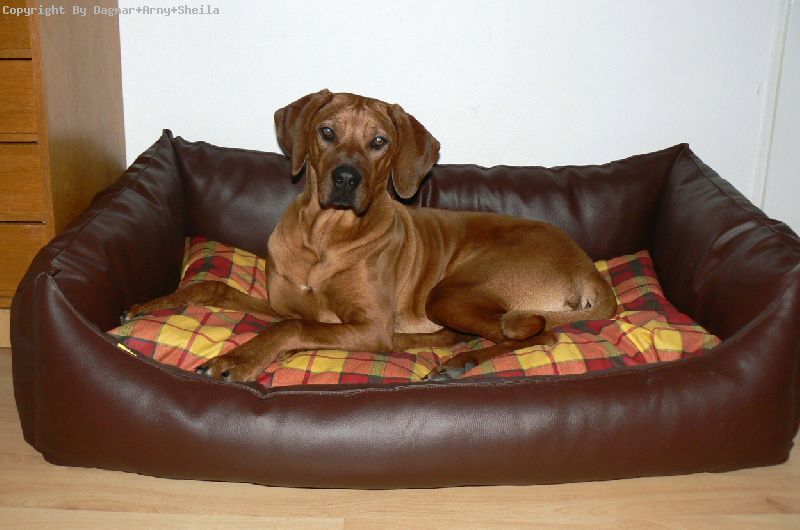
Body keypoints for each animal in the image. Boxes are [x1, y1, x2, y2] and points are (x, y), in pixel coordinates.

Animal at [128, 90, 617, 382]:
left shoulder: (368, 325)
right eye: (326, 132)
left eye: (379, 142)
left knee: (532, 332)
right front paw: (148, 304)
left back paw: (458, 361)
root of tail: (588, 270)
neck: (324, 237)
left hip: (450, 292)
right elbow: (217, 288)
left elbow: (291, 326)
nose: (346, 178)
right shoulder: (282, 301)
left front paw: (238, 359)